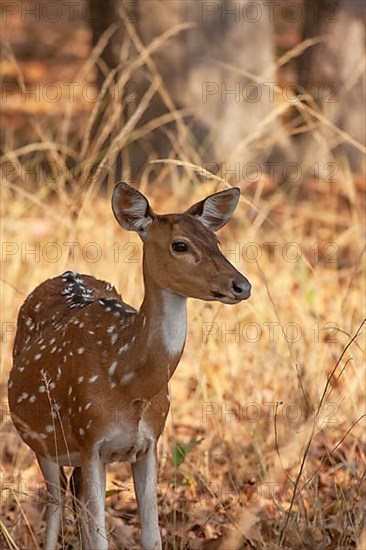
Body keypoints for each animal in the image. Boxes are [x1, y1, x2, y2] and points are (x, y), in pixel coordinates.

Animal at [8, 183, 252, 548]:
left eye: (216, 241)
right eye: (180, 245)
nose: (242, 285)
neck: (127, 381)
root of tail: (66, 272)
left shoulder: (149, 443)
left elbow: (151, 537)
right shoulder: (90, 439)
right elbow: (99, 540)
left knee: (73, 497)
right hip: (41, 441)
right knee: (55, 504)